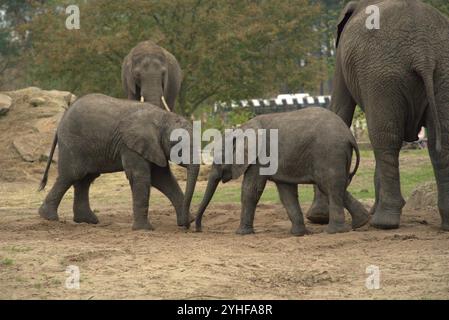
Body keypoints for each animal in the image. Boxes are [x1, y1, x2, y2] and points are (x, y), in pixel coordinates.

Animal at [37, 94, 199, 231]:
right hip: (72, 143)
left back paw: (87, 221)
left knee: (85, 179)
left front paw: (188, 220)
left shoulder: (153, 147)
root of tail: (60, 121)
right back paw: (49, 217)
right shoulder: (131, 146)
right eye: (178, 144)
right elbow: (141, 177)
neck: (163, 118)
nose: (187, 226)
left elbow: (163, 179)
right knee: (71, 175)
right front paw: (144, 230)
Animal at [194, 107, 370, 235]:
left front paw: (242, 234)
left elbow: (251, 190)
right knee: (336, 185)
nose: (199, 229)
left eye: (218, 157)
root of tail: (350, 136)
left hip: (329, 152)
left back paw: (334, 232)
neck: (242, 128)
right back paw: (362, 222)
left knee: (329, 185)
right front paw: (299, 234)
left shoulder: (259, 157)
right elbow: (286, 193)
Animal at [306, 0, 448, 230]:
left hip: (382, 76)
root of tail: (423, 52)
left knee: (385, 138)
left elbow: (339, 111)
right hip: (440, 70)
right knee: (441, 138)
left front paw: (317, 218)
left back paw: (384, 222)